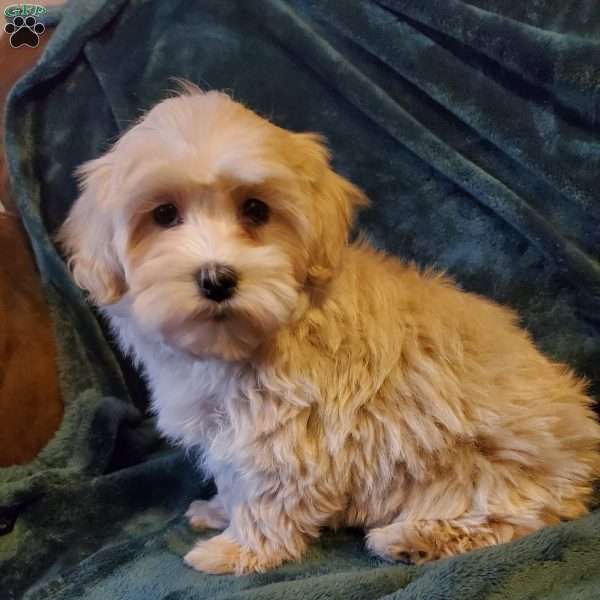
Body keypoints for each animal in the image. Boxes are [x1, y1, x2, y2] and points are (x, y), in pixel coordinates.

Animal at [57, 85, 600, 576]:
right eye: (164, 214)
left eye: (255, 209)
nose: (216, 279)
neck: (251, 338)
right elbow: (234, 481)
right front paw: (217, 511)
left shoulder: (286, 432)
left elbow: (265, 496)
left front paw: (238, 550)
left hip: (488, 468)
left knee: (515, 518)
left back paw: (411, 539)